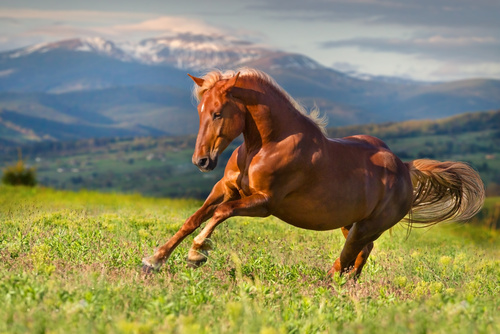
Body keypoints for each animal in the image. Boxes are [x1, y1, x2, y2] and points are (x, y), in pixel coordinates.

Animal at [143, 67, 486, 276]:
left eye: (217, 113)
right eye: (200, 111)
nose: (201, 161)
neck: (265, 145)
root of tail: (405, 168)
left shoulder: (264, 203)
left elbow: (219, 214)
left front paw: (197, 253)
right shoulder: (226, 188)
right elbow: (194, 218)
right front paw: (155, 260)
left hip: (367, 226)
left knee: (347, 256)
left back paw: (330, 286)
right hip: (352, 224)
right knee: (360, 254)